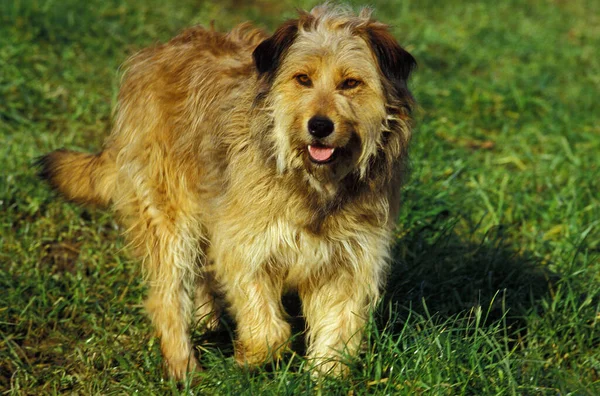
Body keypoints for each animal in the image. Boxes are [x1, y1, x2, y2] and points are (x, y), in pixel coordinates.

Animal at [37, 3, 414, 380]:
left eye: (350, 83)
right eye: (302, 79)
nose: (319, 126)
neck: (314, 183)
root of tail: (153, 54)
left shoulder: (350, 260)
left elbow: (338, 327)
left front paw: (325, 375)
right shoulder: (246, 245)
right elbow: (269, 330)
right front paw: (251, 358)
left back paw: (206, 319)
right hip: (169, 217)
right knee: (168, 295)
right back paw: (183, 367)